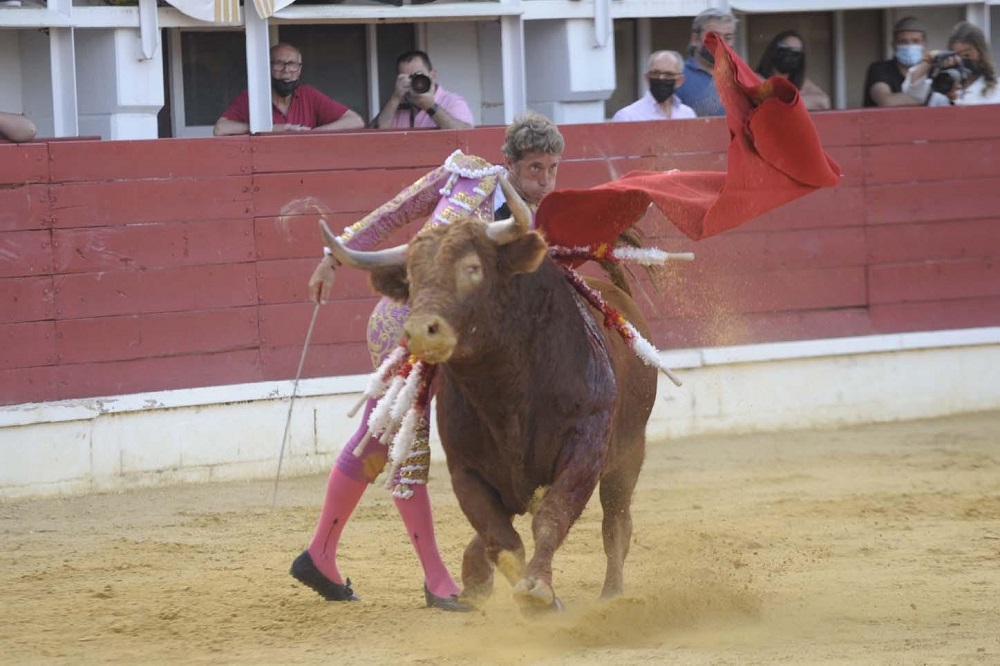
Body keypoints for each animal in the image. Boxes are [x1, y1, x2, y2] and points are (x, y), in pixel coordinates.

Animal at [324, 175, 660, 608]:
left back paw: (612, 594)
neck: (504, 390)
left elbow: (552, 516)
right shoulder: (466, 471)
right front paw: (521, 590)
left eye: (472, 269)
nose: (420, 331)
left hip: (628, 454)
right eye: (411, 279)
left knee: (616, 522)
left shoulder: (585, 450)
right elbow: (501, 541)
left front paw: (538, 589)